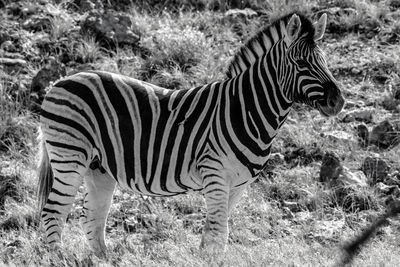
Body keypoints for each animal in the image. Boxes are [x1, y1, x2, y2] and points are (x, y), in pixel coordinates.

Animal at [37, 12, 344, 258]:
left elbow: (214, 230)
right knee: (54, 212)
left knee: (92, 216)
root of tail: (60, 82)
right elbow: (219, 231)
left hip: (98, 168)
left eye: (325, 61)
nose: (338, 102)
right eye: (302, 63)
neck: (245, 109)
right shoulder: (215, 173)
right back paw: (57, 258)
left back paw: (104, 259)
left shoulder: (239, 184)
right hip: (70, 156)